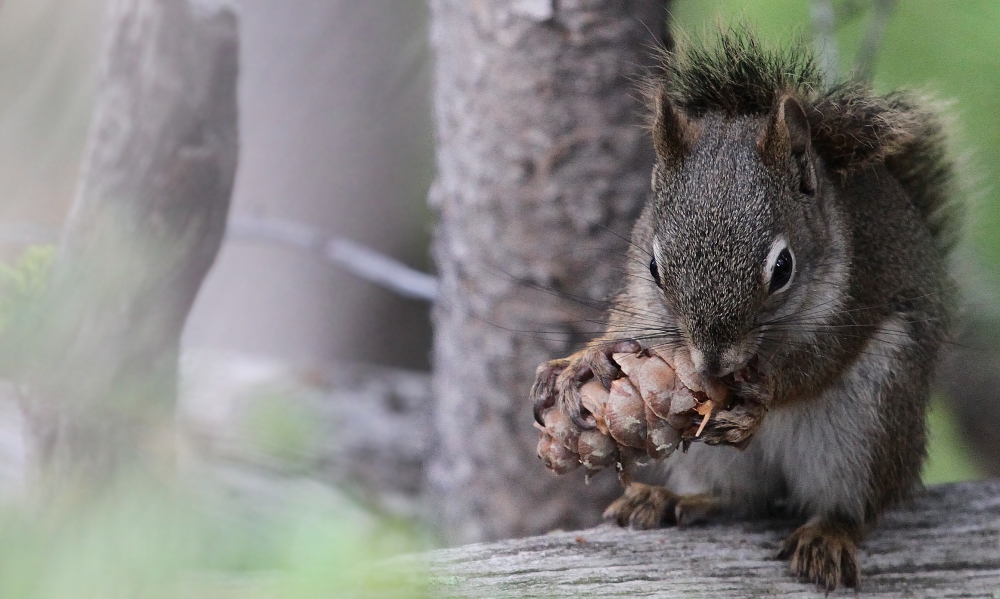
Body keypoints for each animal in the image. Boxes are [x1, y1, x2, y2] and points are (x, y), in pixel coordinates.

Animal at [532, 29, 960, 592]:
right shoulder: (641, 293)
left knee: (855, 505)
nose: (713, 366)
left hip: (872, 419)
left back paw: (827, 536)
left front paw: (765, 396)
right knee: (739, 499)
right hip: (714, 460)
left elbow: (819, 362)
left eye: (783, 268)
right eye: (654, 266)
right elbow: (626, 321)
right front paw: (586, 359)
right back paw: (668, 499)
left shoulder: (857, 296)